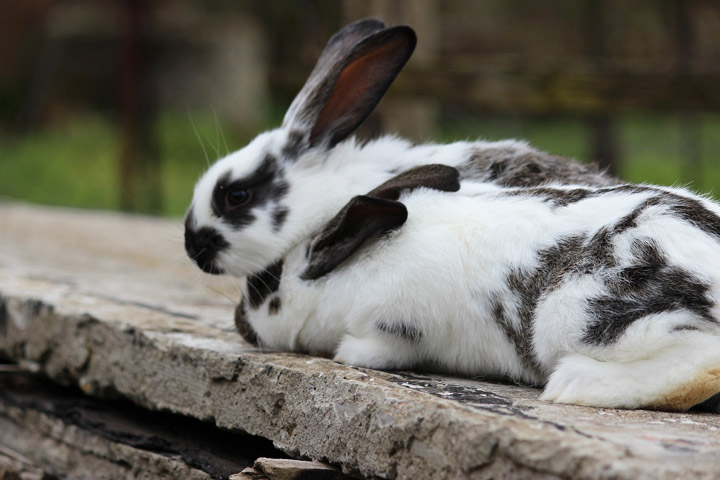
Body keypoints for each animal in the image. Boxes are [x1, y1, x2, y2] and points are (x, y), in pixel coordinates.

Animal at [232, 163, 720, 410]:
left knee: (701, 364)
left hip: (577, 315)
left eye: (264, 283)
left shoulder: (396, 326)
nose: (239, 323)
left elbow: (379, 350)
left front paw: (347, 352)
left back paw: (573, 385)